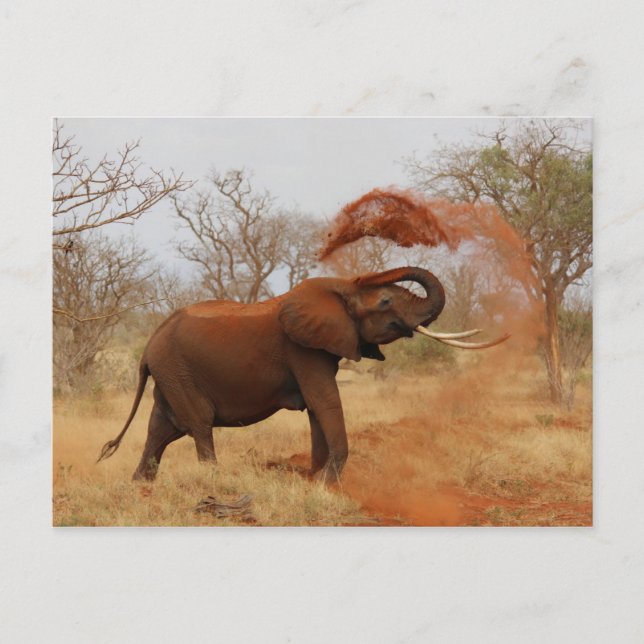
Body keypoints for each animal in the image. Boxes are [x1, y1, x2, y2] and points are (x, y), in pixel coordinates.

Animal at [98, 266, 506, 483]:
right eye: (386, 301)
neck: (340, 288)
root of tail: (148, 345)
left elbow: (316, 408)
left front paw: (315, 478)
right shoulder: (303, 350)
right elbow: (325, 401)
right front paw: (327, 482)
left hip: (170, 373)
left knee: (161, 428)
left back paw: (140, 486)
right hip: (177, 370)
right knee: (197, 423)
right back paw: (213, 479)